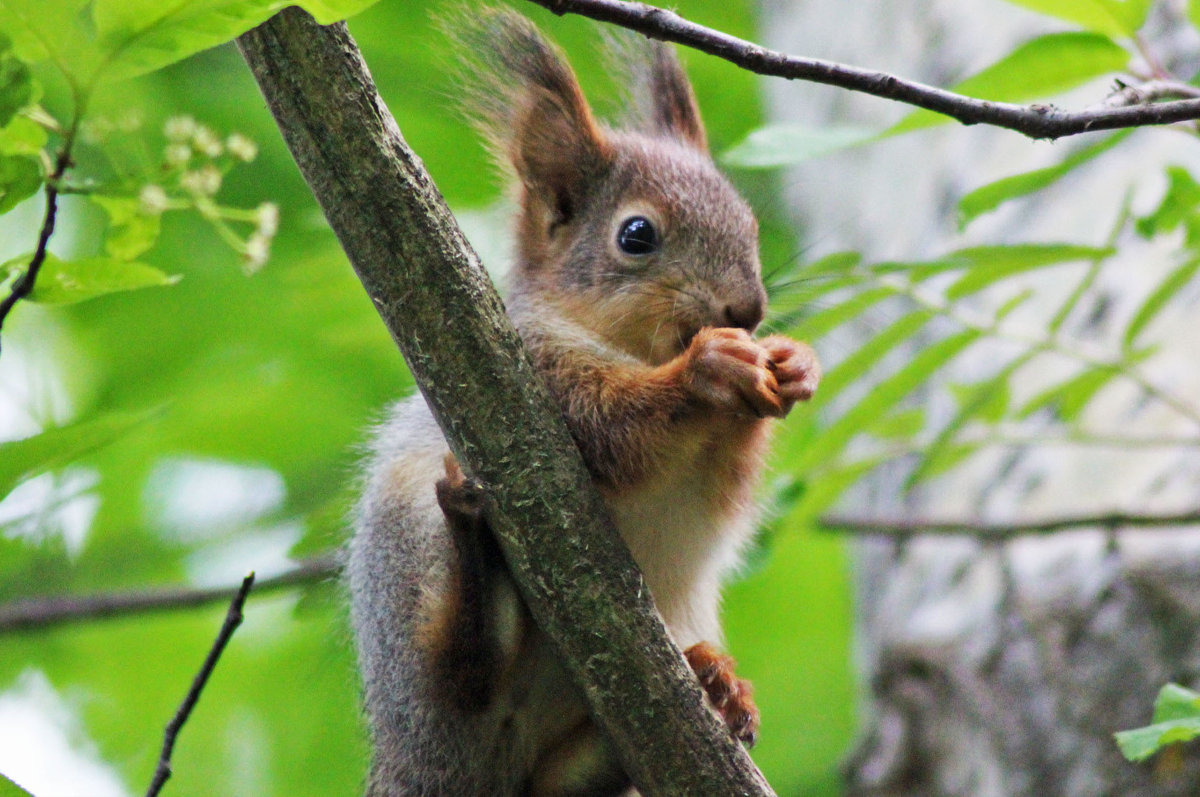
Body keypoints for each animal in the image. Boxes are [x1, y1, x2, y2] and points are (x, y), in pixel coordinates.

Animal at [343, 9, 820, 792]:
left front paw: (794, 365)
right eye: (636, 235)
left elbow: (725, 476)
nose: (746, 310)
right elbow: (606, 428)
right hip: (406, 549)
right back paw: (477, 573)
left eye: (750, 225)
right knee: (460, 673)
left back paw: (715, 682)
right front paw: (708, 369)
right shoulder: (520, 372)